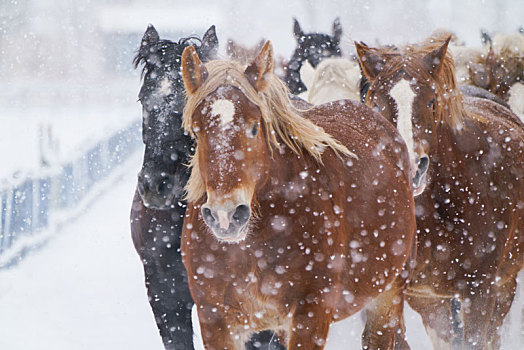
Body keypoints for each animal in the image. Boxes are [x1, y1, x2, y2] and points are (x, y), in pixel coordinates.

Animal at [180, 39, 418, 348]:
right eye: (197, 132)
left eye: (254, 126)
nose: (226, 215)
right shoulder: (215, 318)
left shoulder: (311, 312)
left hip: (389, 294)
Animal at [356, 35, 524, 350]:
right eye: (375, 103)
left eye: (431, 102)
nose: (412, 167)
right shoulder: (411, 296)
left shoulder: (480, 291)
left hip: (504, 285)